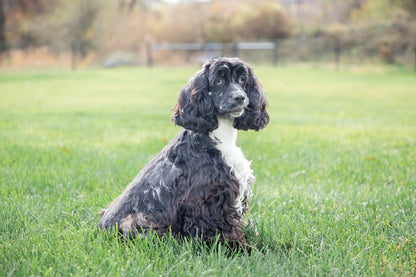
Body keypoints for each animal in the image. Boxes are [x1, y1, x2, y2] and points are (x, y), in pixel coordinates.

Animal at [98, 57, 270, 243]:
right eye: (219, 81)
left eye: (242, 79)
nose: (240, 97)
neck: (220, 137)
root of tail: (100, 229)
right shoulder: (209, 197)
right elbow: (223, 230)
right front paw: (239, 247)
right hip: (135, 221)